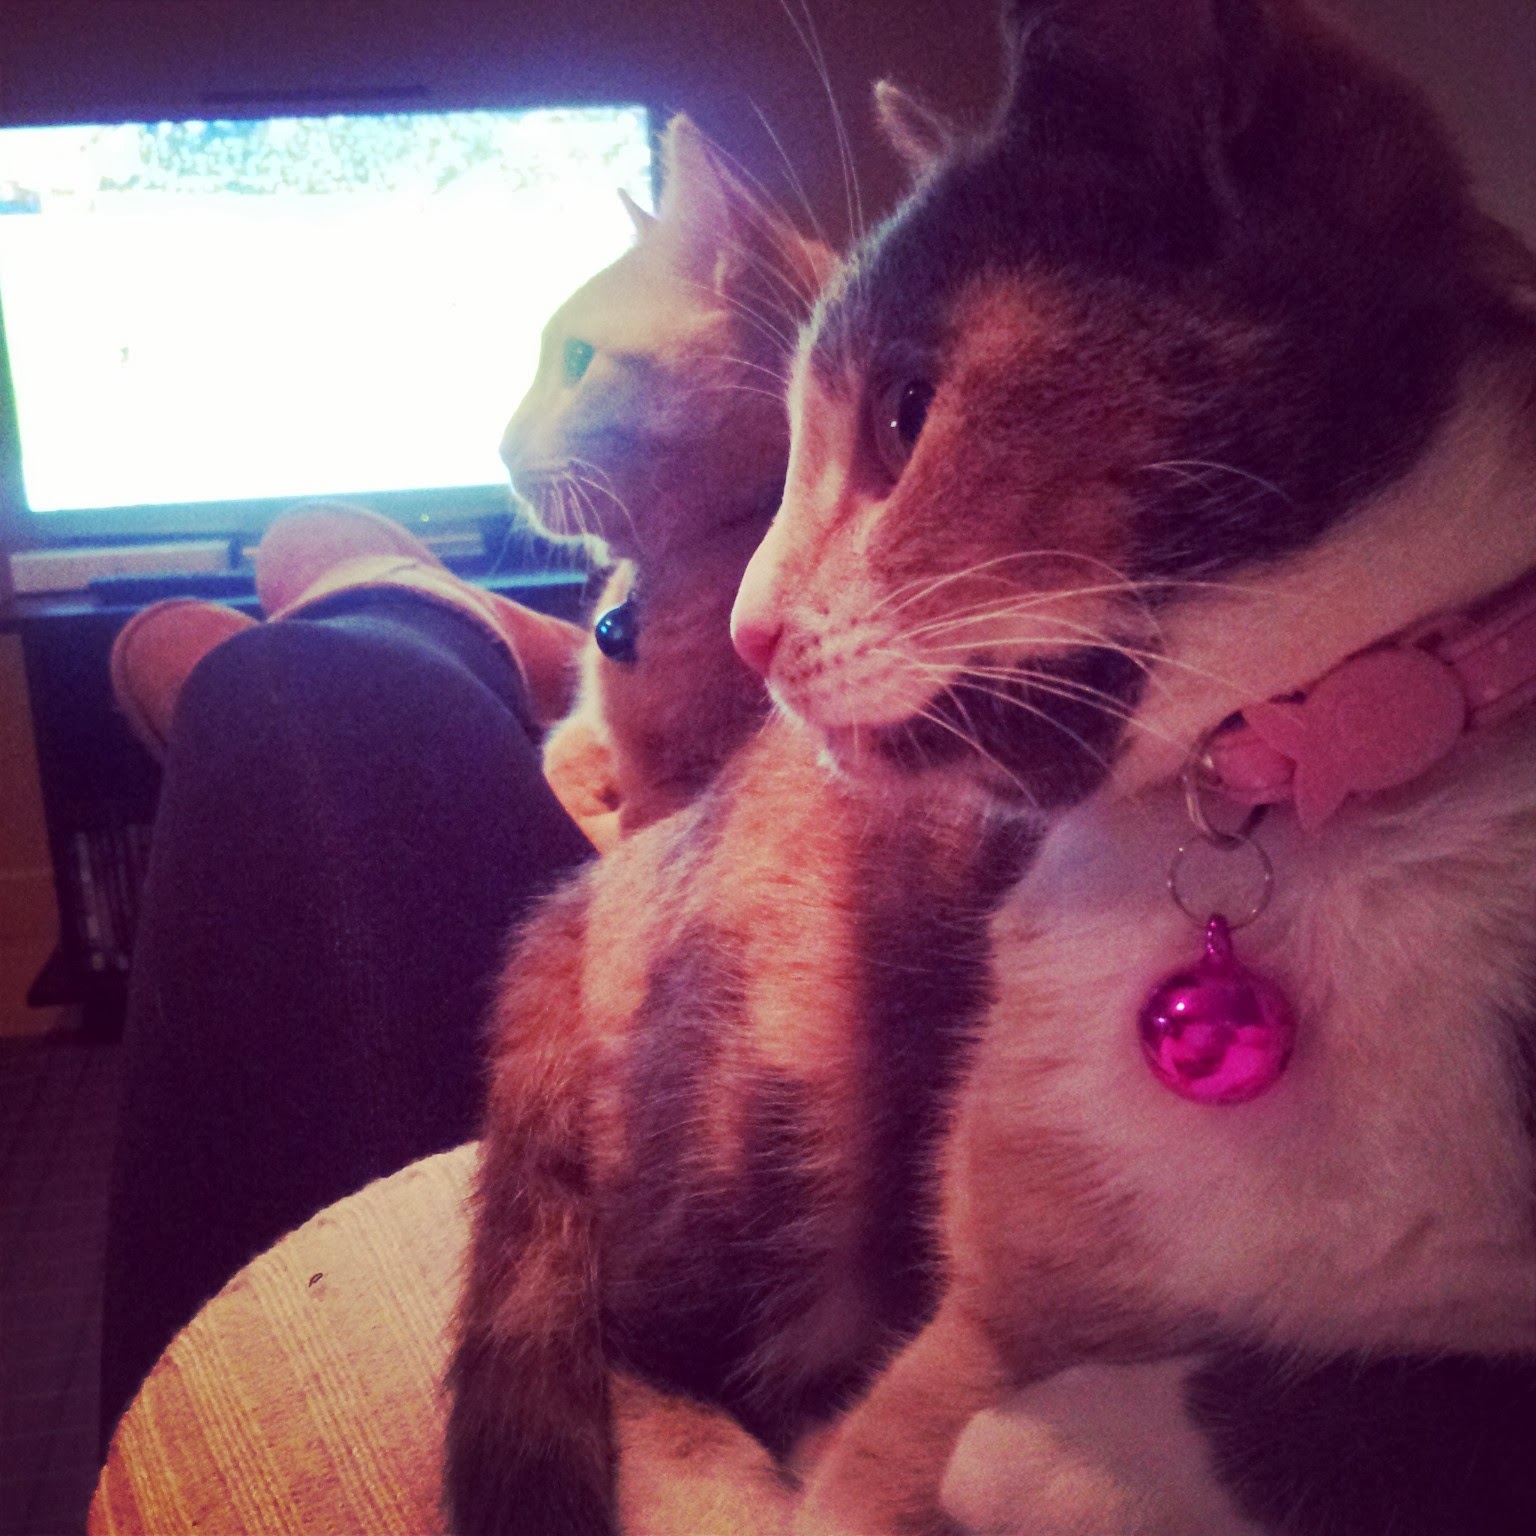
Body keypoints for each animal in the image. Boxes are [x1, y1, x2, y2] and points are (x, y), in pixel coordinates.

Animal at [501, 114, 833, 849]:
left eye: (576, 359)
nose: (499, 449)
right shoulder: (583, 733)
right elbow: (556, 757)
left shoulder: (664, 798)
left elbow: (606, 821)